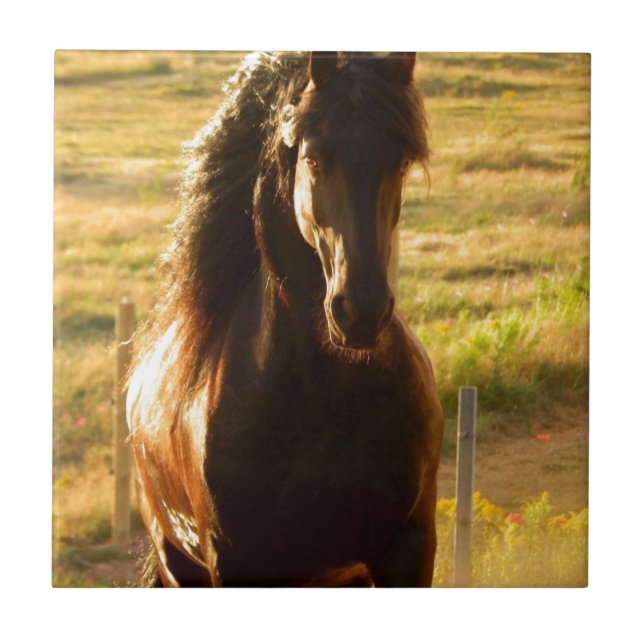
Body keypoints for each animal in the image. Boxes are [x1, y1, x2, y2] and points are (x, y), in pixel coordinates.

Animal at [126, 51, 444, 587]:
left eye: (400, 160)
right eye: (313, 157)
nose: (361, 311)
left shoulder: (409, 549)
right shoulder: (236, 567)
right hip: (179, 564)